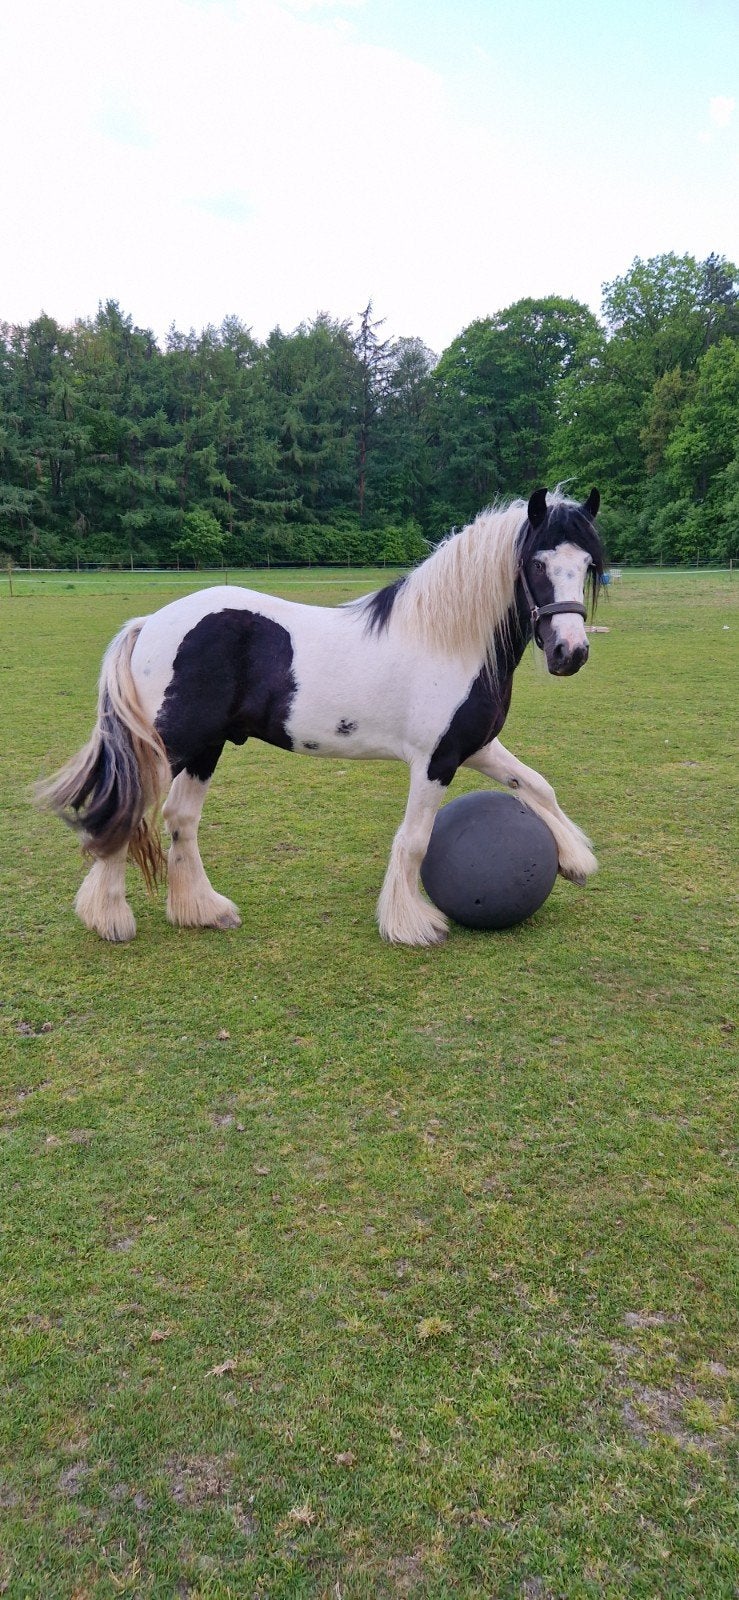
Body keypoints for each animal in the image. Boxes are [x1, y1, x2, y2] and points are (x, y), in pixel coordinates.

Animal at [37, 487, 606, 946]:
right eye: (537, 563)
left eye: (587, 566)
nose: (571, 652)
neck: (449, 642)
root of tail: (150, 622)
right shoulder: (435, 760)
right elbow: (415, 840)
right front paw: (411, 925)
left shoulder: (475, 747)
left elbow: (536, 785)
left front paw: (575, 861)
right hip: (172, 744)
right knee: (127, 810)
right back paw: (110, 919)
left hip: (206, 746)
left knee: (181, 818)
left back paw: (203, 910)